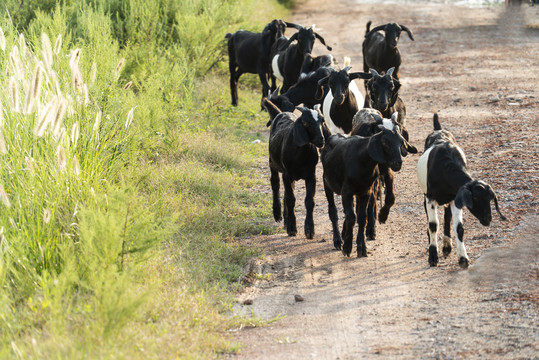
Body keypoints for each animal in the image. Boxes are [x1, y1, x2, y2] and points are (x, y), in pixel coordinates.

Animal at [262, 99, 330, 239]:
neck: (300, 155)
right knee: (275, 184)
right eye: (305, 122)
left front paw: (309, 230)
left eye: (322, 120)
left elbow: (309, 201)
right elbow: (291, 199)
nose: (321, 139)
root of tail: (282, 113)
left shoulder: (311, 175)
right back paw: (278, 214)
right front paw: (292, 229)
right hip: (273, 163)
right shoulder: (287, 174)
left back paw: (285, 220)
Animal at [322, 112, 416, 256]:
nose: (398, 162)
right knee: (335, 210)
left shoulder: (373, 183)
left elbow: (386, 200)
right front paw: (348, 245)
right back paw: (340, 238)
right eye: (384, 141)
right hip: (327, 184)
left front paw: (382, 217)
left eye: (401, 140)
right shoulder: (348, 191)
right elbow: (353, 214)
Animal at [416, 112, 508, 268]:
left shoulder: (455, 198)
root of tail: (438, 130)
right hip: (425, 194)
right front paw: (433, 256)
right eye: (475, 198)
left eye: (490, 199)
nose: (488, 219)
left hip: (448, 200)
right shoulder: (431, 198)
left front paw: (463, 258)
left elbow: (459, 227)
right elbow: (433, 225)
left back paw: (447, 246)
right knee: (431, 220)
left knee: (447, 216)